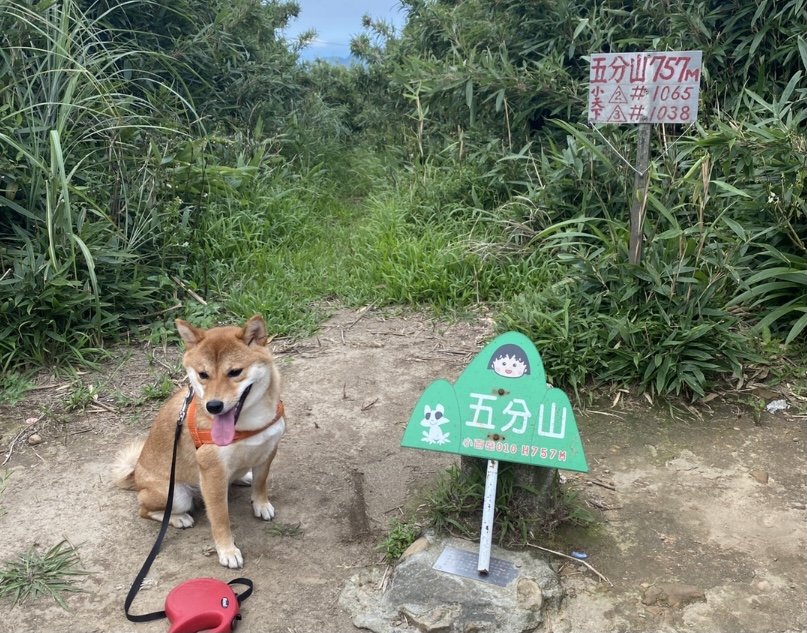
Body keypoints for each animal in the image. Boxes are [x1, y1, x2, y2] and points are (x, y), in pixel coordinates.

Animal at [115, 316, 286, 568]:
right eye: (203, 374)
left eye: (235, 372)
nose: (213, 406)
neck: (248, 422)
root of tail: (136, 475)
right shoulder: (212, 473)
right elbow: (220, 518)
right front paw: (227, 551)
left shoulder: (267, 450)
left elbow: (261, 483)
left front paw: (261, 504)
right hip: (176, 495)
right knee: (144, 510)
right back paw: (178, 519)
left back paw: (242, 476)